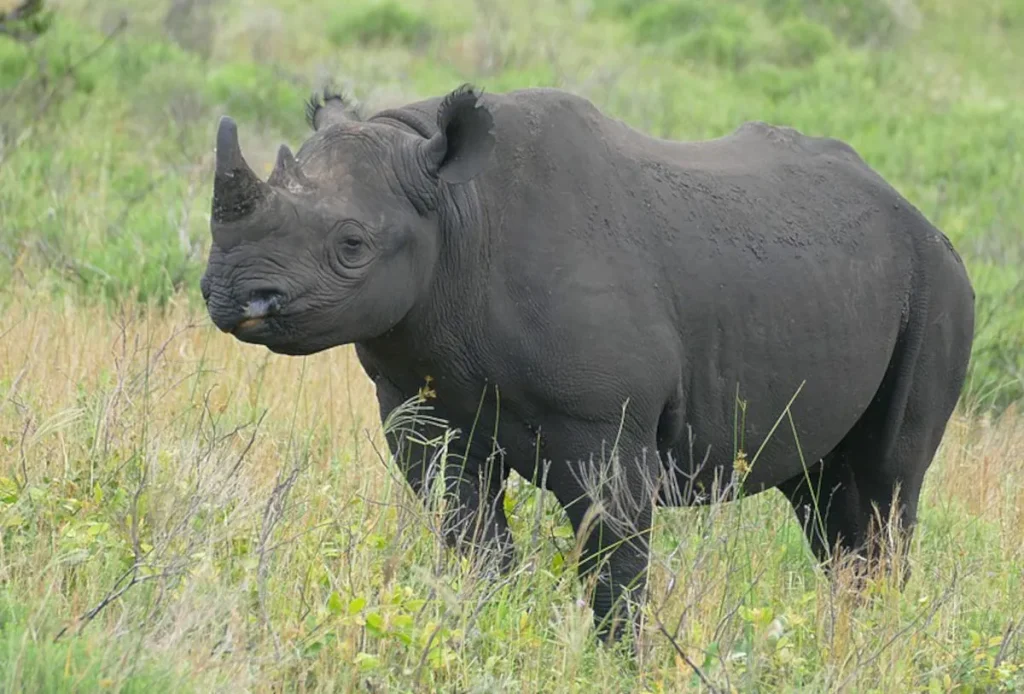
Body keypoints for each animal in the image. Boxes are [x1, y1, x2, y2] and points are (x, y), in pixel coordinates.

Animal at [200, 85, 975, 643]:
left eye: (352, 245)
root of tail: (923, 217)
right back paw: (850, 636)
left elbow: (613, 560)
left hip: (937, 284)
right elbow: (468, 531)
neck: (453, 212)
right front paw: (487, 631)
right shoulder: (418, 403)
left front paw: (619, 660)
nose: (233, 295)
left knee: (887, 486)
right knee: (828, 499)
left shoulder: (605, 423)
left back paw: (872, 638)